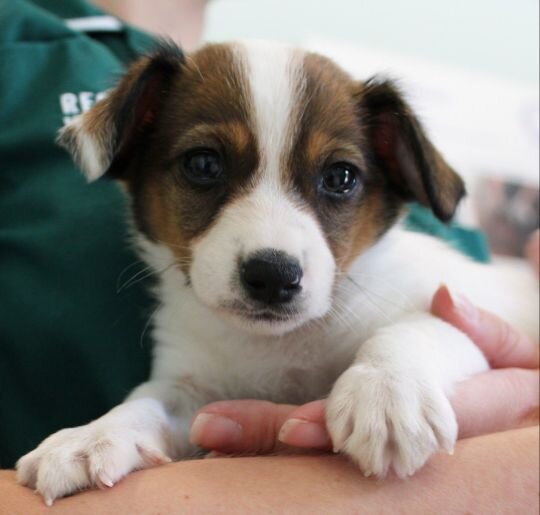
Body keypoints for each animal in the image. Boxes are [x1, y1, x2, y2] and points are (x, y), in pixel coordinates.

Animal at [16, 39, 536, 504]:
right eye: (202, 163)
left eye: (341, 177)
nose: (273, 275)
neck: (281, 346)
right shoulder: (193, 387)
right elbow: (146, 402)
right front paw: (90, 435)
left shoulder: (469, 309)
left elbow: (413, 330)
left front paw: (387, 393)